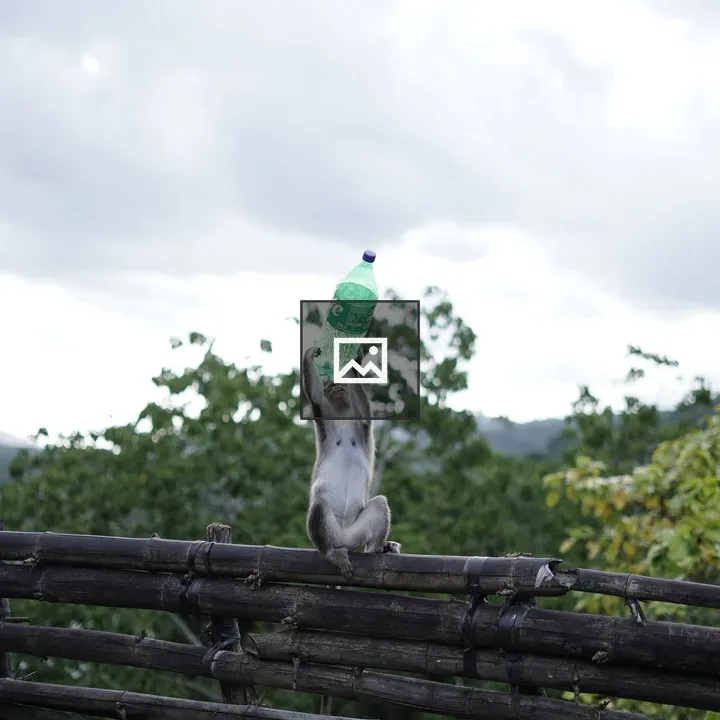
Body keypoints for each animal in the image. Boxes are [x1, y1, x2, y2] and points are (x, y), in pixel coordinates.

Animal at [301, 344, 401, 579]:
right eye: (331, 385)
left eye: (341, 384)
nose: (337, 386)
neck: (342, 413)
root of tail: (344, 540)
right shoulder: (324, 412)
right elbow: (316, 396)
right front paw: (310, 354)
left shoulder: (361, 424)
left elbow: (364, 416)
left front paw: (354, 365)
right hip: (330, 530)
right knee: (319, 505)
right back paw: (330, 553)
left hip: (357, 532)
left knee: (380, 504)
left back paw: (376, 548)